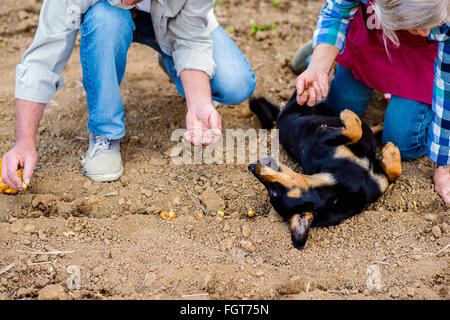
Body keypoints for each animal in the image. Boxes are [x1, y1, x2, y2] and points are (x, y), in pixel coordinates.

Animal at [248, 92, 402, 250]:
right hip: (301, 104)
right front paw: (349, 115)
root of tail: (279, 118)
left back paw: (380, 126)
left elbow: (394, 172)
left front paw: (390, 154)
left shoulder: (380, 180)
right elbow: (355, 131)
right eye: (272, 191)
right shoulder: (320, 134)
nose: (251, 167)